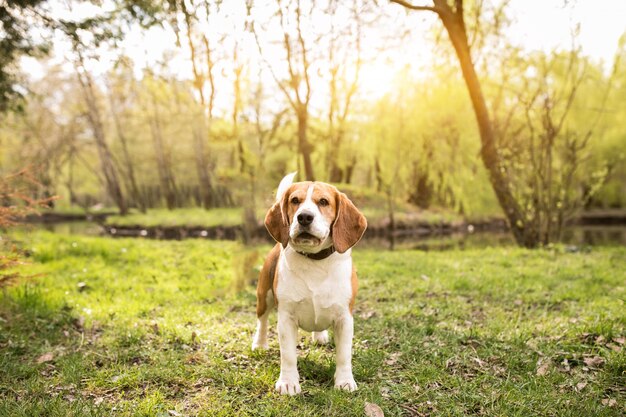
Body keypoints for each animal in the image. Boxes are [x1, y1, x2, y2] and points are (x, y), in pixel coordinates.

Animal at [250, 171, 366, 394]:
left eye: (323, 202)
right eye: (295, 200)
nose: (304, 217)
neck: (315, 261)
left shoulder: (344, 318)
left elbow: (344, 354)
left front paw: (344, 381)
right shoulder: (286, 318)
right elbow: (288, 355)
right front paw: (288, 382)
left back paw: (320, 336)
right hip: (264, 296)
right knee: (262, 321)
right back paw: (259, 344)